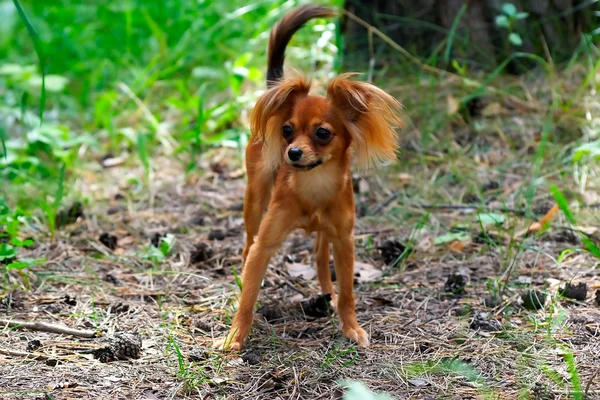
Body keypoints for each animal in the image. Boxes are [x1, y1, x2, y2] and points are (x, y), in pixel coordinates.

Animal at [213, 4, 406, 352]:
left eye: (322, 133)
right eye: (287, 130)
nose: (292, 152)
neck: (313, 186)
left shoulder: (344, 240)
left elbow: (348, 293)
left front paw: (350, 326)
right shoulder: (266, 242)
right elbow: (248, 298)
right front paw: (235, 336)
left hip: (328, 229)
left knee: (318, 254)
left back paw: (326, 292)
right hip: (254, 199)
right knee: (248, 245)